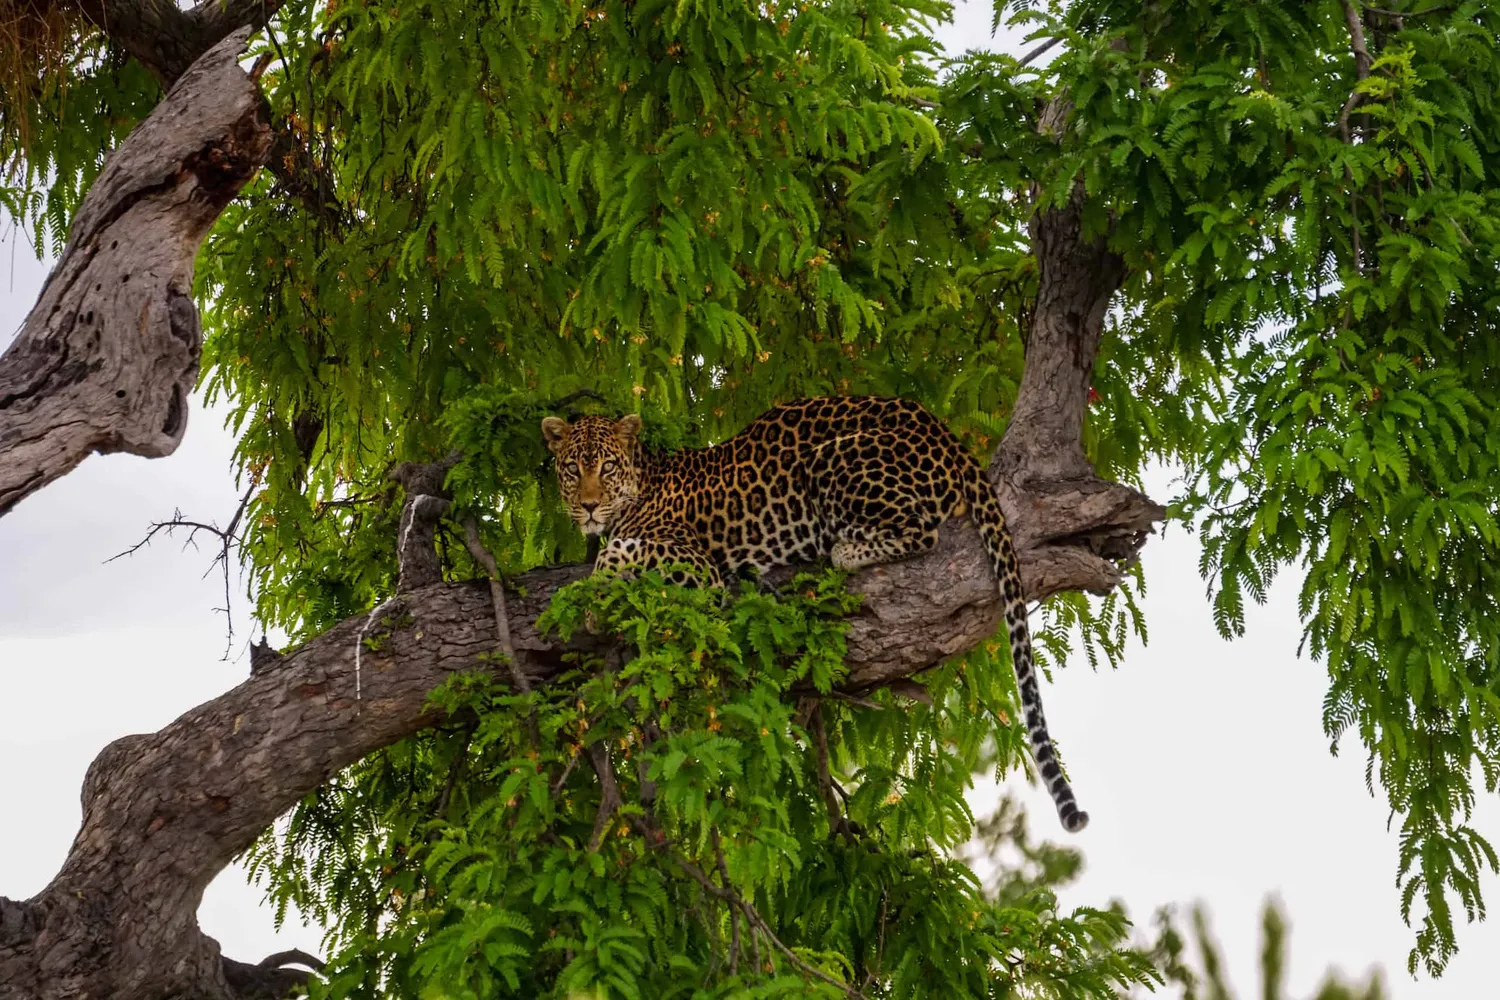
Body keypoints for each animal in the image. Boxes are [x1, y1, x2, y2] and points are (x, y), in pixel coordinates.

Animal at [541, 394, 1088, 833]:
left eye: (606, 469)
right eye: (571, 470)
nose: (588, 506)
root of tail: (943, 433)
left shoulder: (697, 566)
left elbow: (619, 553)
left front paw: (594, 597)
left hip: (835, 458)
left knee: (921, 530)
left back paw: (842, 550)